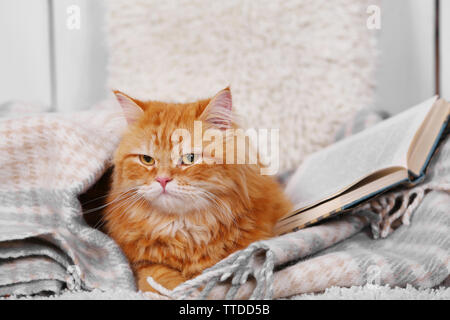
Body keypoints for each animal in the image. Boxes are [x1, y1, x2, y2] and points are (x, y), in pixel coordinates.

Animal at [105, 87, 292, 292]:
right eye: (147, 160)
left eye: (190, 158)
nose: (162, 179)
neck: (184, 231)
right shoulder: (142, 264)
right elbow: (158, 278)